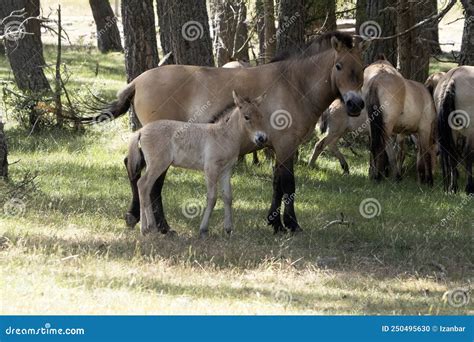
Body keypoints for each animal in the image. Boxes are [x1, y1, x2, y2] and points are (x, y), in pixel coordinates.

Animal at [79, 32, 366, 234]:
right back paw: (159, 226)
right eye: (339, 66)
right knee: (149, 181)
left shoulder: (279, 148)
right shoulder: (285, 146)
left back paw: (140, 218)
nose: (355, 105)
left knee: (136, 170)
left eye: (362, 68)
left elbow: (276, 184)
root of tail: (138, 81)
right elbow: (288, 185)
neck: (292, 84)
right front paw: (291, 225)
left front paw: (275, 223)